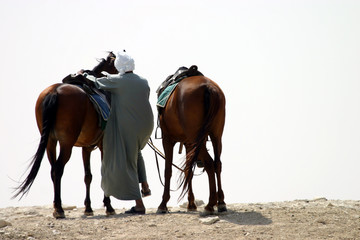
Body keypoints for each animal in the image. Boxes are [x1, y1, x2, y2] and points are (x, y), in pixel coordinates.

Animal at [12, 51, 118, 218]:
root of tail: (54, 91)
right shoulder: (102, 145)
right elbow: (103, 174)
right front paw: (108, 206)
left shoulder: (86, 147)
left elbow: (88, 176)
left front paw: (88, 208)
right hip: (66, 143)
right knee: (58, 169)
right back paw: (59, 209)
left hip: (50, 142)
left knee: (53, 169)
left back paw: (57, 206)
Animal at [157, 66, 226, 215]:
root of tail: (208, 87)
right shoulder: (188, 143)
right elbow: (188, 170)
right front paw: (191, 203)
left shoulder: (167, 139)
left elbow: (168, 170)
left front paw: (163, 204)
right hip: (215, 135)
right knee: (217, 163)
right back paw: (221, 202)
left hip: (196, 138)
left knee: (209, 163)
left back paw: (210, 205)